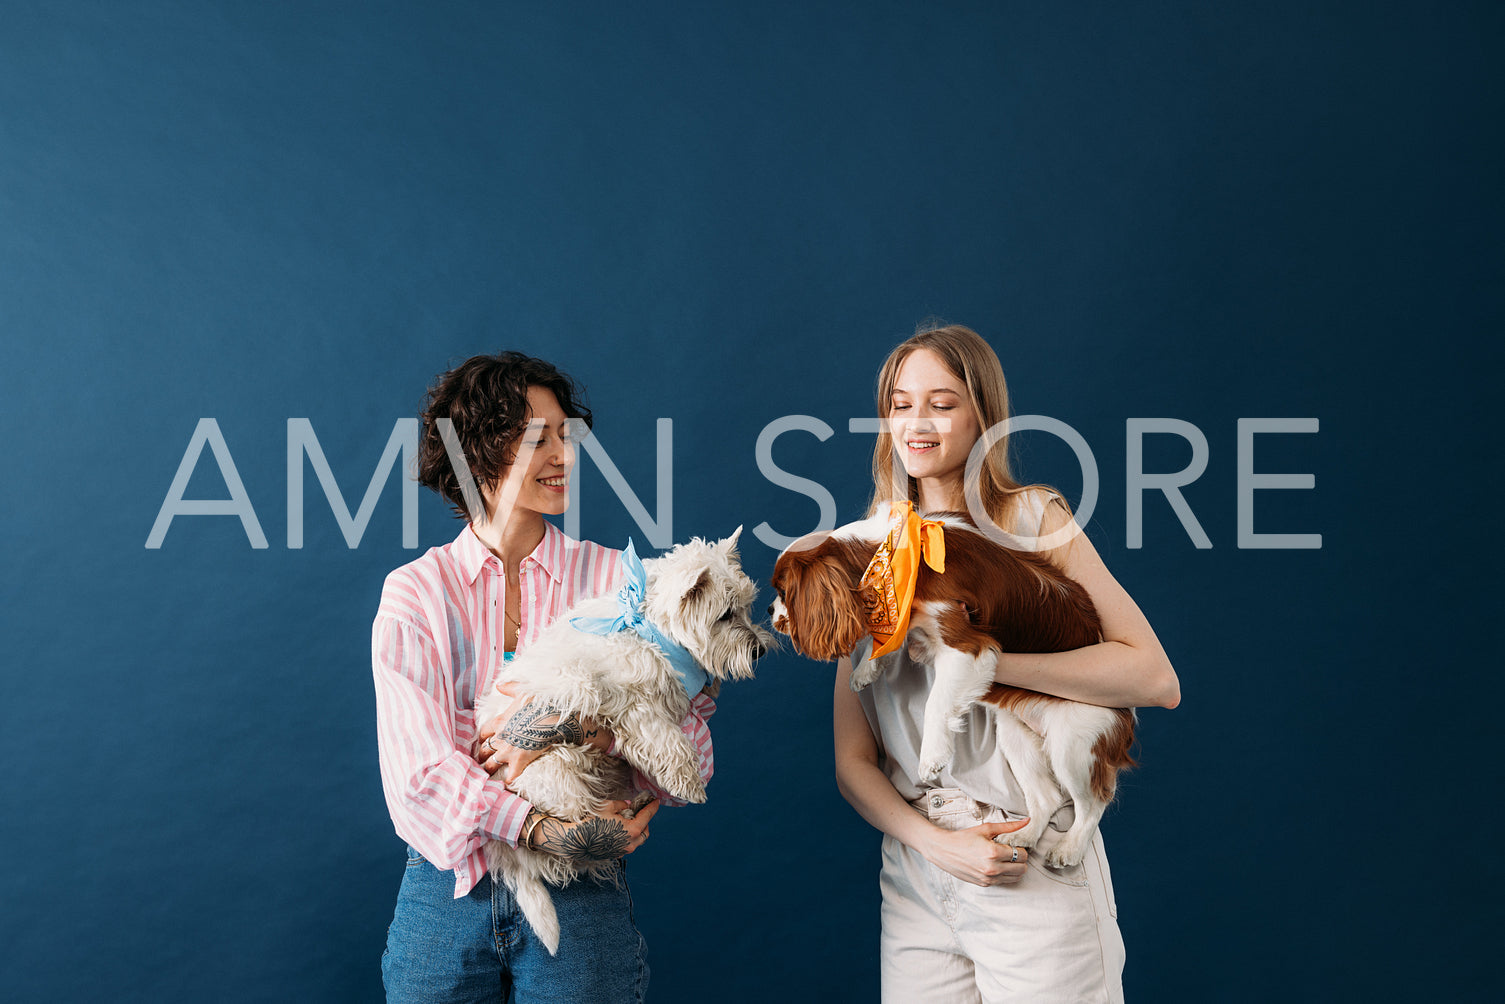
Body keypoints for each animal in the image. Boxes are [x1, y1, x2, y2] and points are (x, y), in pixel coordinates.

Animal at [472, 529, 776, 957]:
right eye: (725, 615)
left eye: (747, 608)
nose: (760, 649)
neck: (651, 630)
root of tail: (503, 852)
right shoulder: (633, 706)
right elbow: (669, 741)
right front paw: (689, 783)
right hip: (557, 768)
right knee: (569, 836)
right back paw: (623, 812)